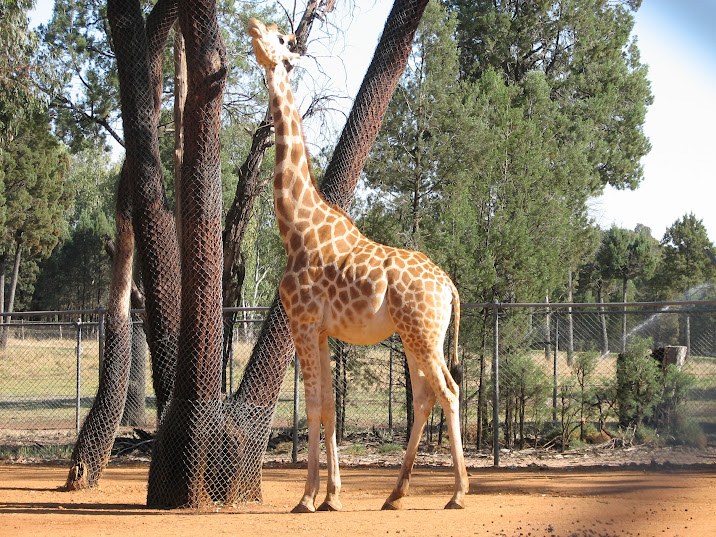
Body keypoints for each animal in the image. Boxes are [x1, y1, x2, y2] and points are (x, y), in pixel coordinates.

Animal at [249, 18, 469, 512]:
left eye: (282, 38)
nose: (251, 25)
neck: (296, 229)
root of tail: (449, 286)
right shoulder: (322, 329)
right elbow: (330, 405)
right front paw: (332, 495)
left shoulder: (303, 322)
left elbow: (313, 405)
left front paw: (307, 498)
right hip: (416, 334)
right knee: (425, 396)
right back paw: (395, 494)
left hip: (423, 334)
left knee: (447, 391)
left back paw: (458, 494)